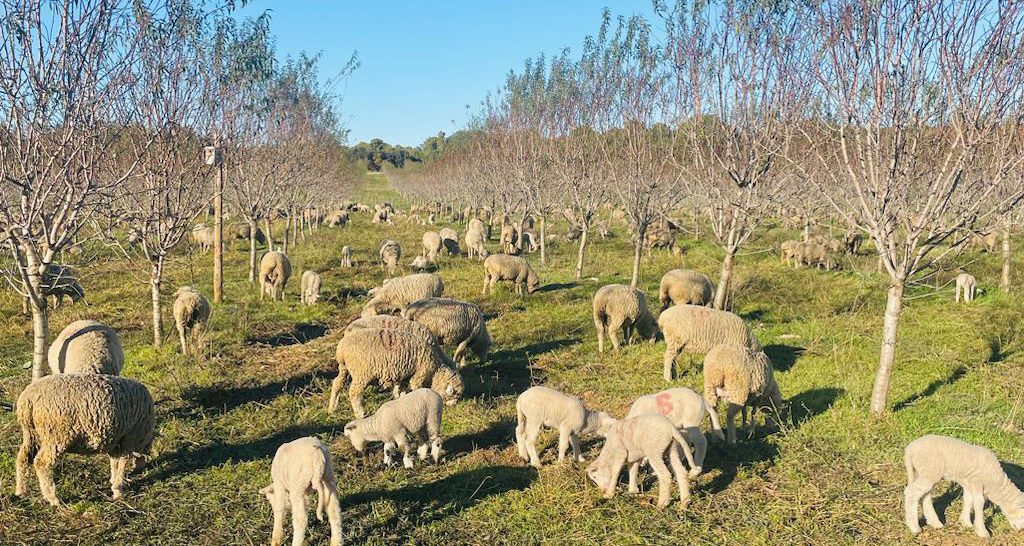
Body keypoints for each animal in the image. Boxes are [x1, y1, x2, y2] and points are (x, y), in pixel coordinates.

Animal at [15, 374, 155, 506]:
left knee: (23, 458)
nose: (141, 468)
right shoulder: (129, 437)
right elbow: (121, 463)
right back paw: (54, 499)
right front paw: (118, 491)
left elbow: (115, 462)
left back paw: (21, 492)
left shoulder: (116, 441)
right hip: (56, 435)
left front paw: (114, 482)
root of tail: (28, 399)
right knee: (42, 463)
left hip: (32, 434)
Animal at [328, 327, 464, 418]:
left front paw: (402, 401)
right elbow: (416, 387)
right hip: (362, 373)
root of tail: (342, 349)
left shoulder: (406, 375)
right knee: (354, 392)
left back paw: (332, 408)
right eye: (454, 394)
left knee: (337, 383)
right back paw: (360, 413)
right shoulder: (419, 374)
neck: (436, 369)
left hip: (344, 368)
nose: (453, 406)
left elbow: (402, 389)